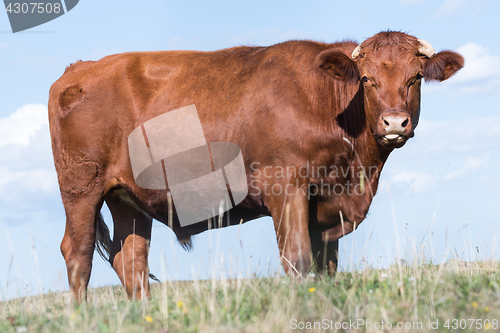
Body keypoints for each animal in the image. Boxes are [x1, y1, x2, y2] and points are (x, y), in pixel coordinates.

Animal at [48, 31, 462, 300]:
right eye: (366, 79)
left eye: (415, 78)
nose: (394, 123)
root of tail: (79, 68)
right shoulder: (286, 188)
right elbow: (298, 259)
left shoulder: (327, 208)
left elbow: (326, 265)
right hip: (81, 187)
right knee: (78, 253)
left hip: (126, 198)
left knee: (130, 259)